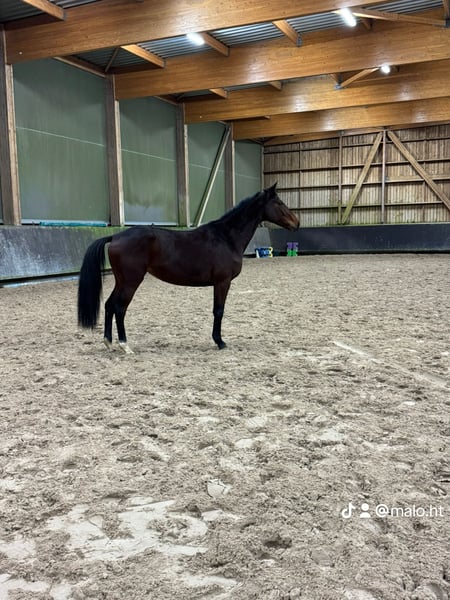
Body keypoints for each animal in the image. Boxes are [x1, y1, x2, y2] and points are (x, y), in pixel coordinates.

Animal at [77, 183, 299, 353]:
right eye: (279, 203)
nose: (296, 223)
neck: (226, 237)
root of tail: (115, 236)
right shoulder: (222, 282)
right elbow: (219, 310)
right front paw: (220, 342)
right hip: (131, 282)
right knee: (120, 308)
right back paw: (125, 345)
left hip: (122, 281)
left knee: (109, 305)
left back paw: (108, 343)